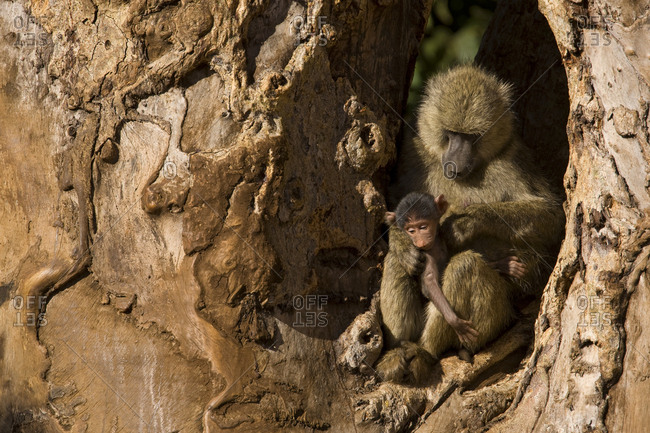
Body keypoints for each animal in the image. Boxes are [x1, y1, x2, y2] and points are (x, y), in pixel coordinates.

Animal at [376, 64, 565, 383]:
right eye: (451, 134)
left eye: (472, 136)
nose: (454, 163)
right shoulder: (415, 151)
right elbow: (394, 207)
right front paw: (403, 244)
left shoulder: (512, 160)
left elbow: (552, 219)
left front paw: (468, 221)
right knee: (399, 263)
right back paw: (399, 348)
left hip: (495, 323)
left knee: (467, 266)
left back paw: (426, 352)